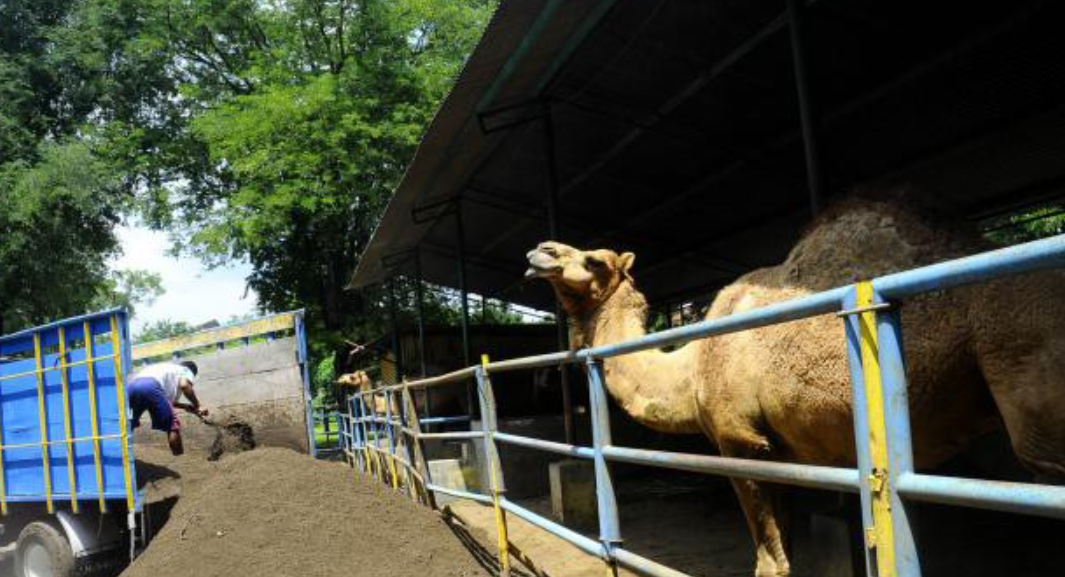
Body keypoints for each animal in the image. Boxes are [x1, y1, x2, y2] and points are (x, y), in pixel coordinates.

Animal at [523, 198, 1065, 574]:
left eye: (595, 261)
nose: (541, 250)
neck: (692, 366)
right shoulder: (777, 453)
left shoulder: (740, 442)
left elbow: (770, 562)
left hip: (1028, 375)